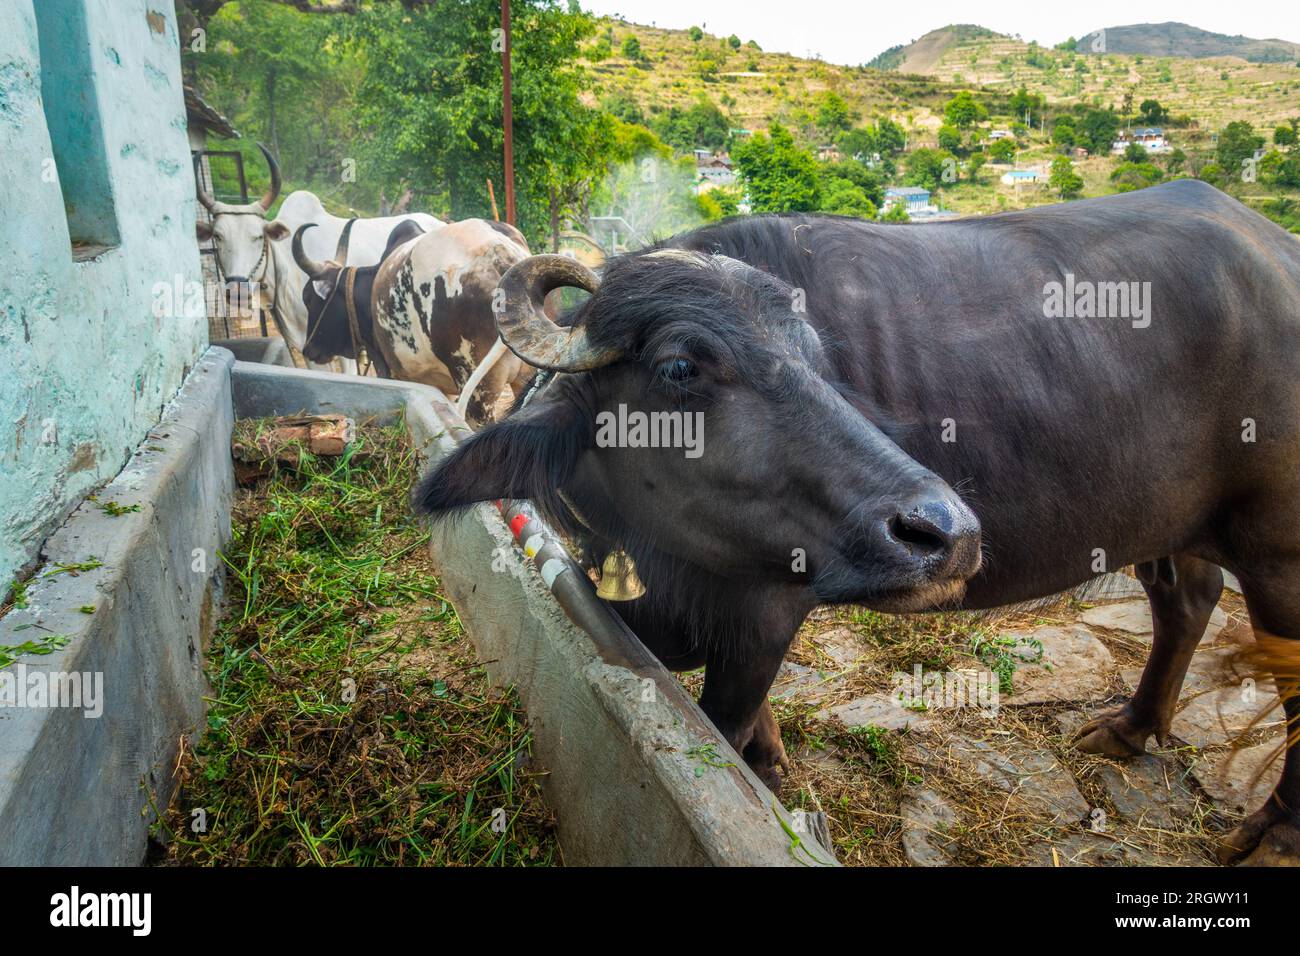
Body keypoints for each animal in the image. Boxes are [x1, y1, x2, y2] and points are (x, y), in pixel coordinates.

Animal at [416, 180, 1300, 868]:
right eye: (679, 366)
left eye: (814, 359)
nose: (949, 535)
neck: (663, 553)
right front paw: (774, 767)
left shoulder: (764, 615)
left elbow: (725, 717)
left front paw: (760, 772)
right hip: (1172, 525)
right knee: (1186, 600)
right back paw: (1131, 728)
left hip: (1279, 552)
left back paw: (1271, 830)